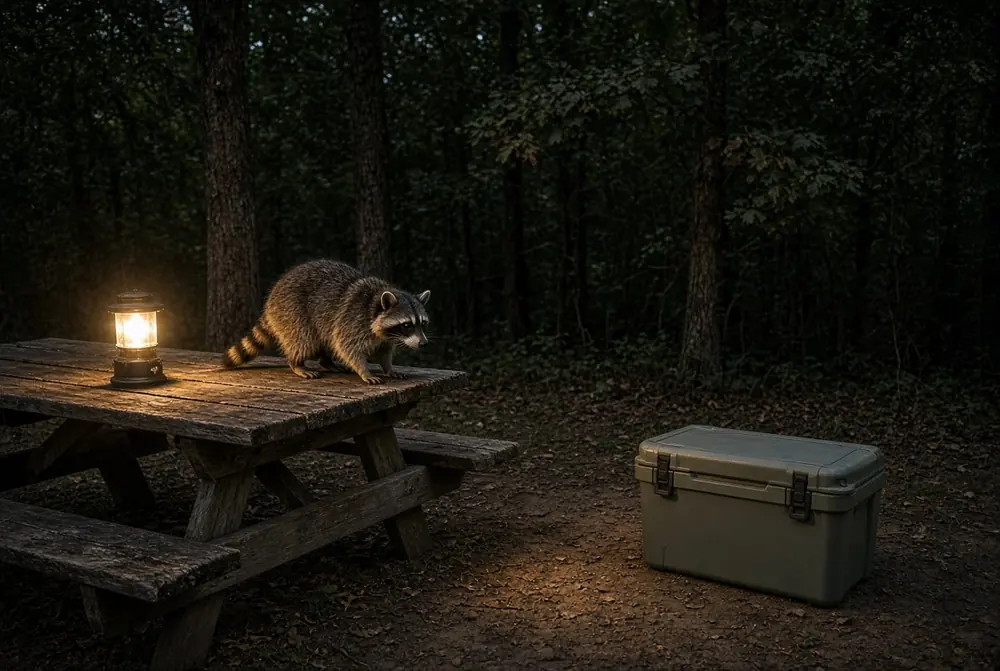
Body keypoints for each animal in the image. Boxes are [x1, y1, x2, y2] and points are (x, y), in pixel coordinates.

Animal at [221, 259, 430, 384]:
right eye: (406, 325)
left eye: (422, 323)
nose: (423, 343)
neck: (375, 304)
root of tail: (271, 299)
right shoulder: (353, 320)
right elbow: (347, 346)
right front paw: (364, 371)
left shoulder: (385, 337)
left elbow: (383, 351)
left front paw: (388, 367)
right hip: (292, 311)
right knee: (303, 339)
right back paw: (296, 363)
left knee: (325, 337)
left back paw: (326, 361)